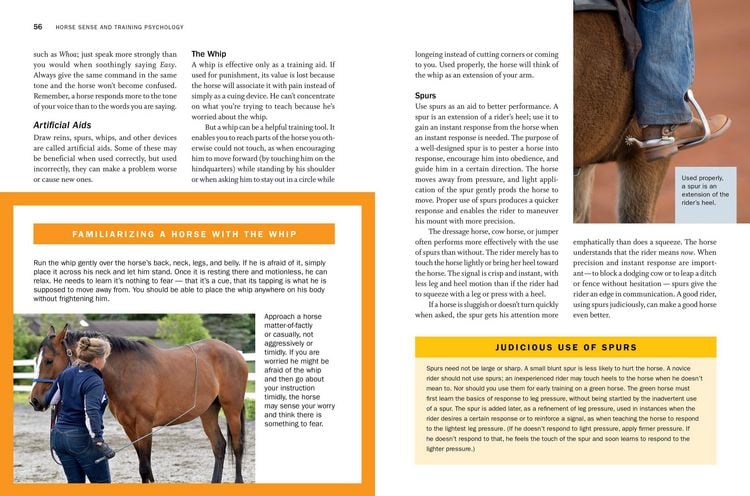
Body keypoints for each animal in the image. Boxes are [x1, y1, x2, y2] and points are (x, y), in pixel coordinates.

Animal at [28, 324, 249, 483]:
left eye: (49, 360)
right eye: (36, 361)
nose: (35, 401)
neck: (127, 373)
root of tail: (234, 352)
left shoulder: (144, 426)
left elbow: (144, 467)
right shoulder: (130, 428)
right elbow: (145, 467)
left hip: (232, 409)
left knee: (237, 447)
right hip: (208, 411)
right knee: (219, 446)